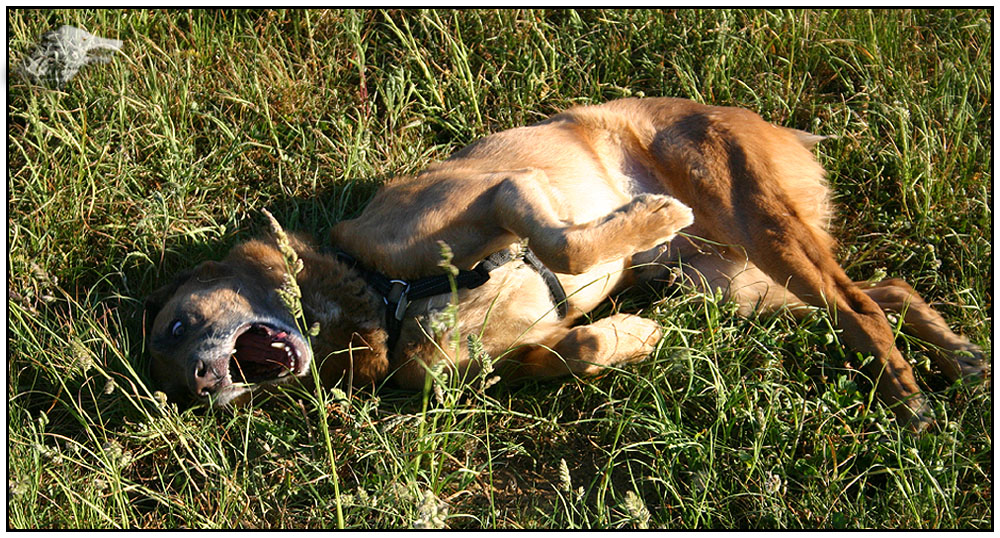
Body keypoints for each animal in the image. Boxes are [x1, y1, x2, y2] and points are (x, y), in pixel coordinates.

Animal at [145, 96, 988, 430]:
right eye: (172, 370)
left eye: (178, 326)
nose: (203, 384)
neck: (382, 294)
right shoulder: (516, 354)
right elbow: (569, 349)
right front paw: (634, 338)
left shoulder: (503, 192)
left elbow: (565, 242)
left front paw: (643, 218)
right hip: (736, 284)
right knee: (884, 289)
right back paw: (961, 357)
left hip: (758, 227)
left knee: (861, 306)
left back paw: (910, 393)